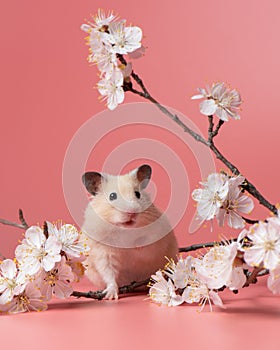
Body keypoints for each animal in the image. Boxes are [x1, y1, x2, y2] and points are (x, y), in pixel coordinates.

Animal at [81, 163, 178, 298]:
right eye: (112, 196)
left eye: (137, 194)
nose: (131, 212)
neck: (125, 229)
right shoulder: (103, 252)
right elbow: (108, 272)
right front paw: (110, 296)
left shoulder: (157, 236)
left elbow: (147, 247)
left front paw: (136, 246)